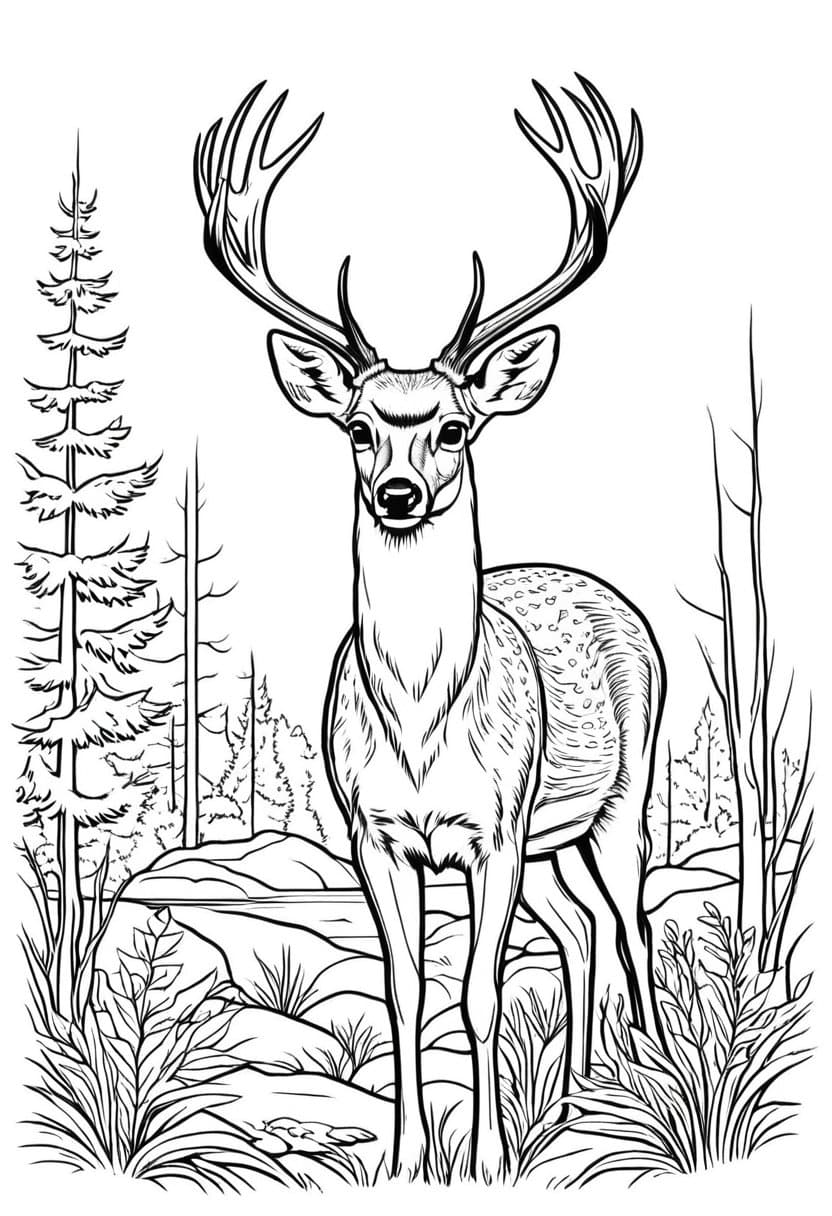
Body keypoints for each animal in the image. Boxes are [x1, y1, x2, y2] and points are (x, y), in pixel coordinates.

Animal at [195, 76, 664, 1183]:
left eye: (455, 426)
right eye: (359, 428)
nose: (400, 492)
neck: (419, 724)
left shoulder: (492, 827)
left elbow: (478, 993)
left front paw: (487, 1159)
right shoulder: (374, 831)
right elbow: (404, 989)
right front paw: (408, 1155)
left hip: (619, 794)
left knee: (631, 922)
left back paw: (646, 1074)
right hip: (551, 844)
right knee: (580, 928)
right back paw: (574, 1091)